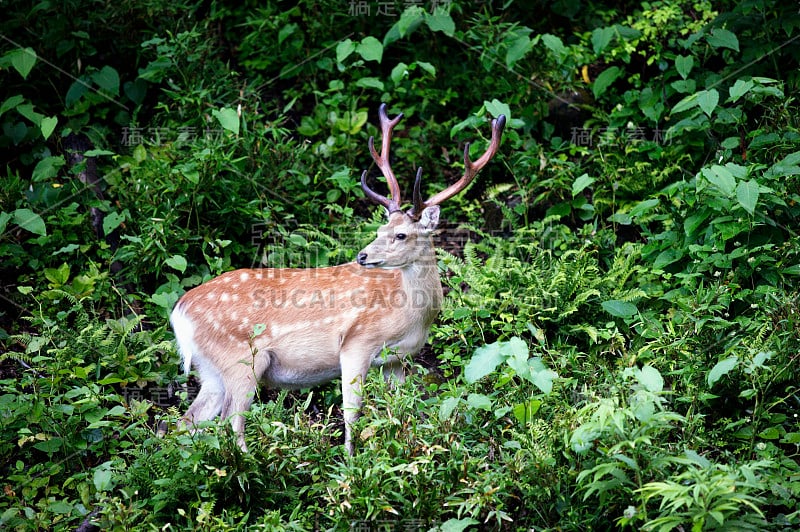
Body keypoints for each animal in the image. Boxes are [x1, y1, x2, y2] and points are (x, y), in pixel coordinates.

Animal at [171, 104, 504, 454]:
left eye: (400, 234)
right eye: (380, 230)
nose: (363, 256)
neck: (410, 316)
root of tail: (179, 312)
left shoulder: (397, 360)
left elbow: (400, 410)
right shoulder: (357, 343)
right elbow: (351, 414)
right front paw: (349, 462)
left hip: (210, 369)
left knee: (185, 423)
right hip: (242, 359)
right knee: (230, 426)